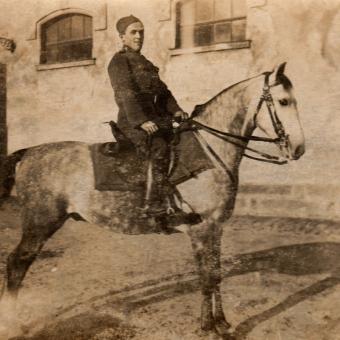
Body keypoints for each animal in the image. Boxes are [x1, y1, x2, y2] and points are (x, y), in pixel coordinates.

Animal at [0, 62, 304, 338]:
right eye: (283, 101)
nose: (299, 148)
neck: (209, 152)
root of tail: (28, 152)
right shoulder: (201, 228)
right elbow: (206, 277)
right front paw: (207, 327)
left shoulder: (216, 228)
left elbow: (216, 274)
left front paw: (222, 323)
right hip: (40, 223)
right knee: (16, 263)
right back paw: (12, 323)